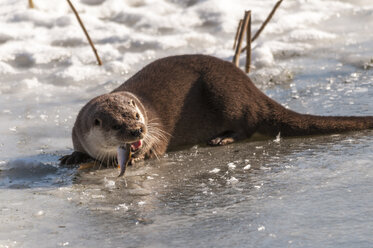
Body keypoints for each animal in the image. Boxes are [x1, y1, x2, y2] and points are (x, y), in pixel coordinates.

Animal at [59, 54, 372, 167]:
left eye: (136, 116)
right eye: (116, 125)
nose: (138, 131)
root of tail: (252, 89)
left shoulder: (157, 125)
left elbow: (158, 143)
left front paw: (141, 155)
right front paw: (73, 157)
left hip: (227, 98)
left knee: (247, 125)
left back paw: (222, 138)